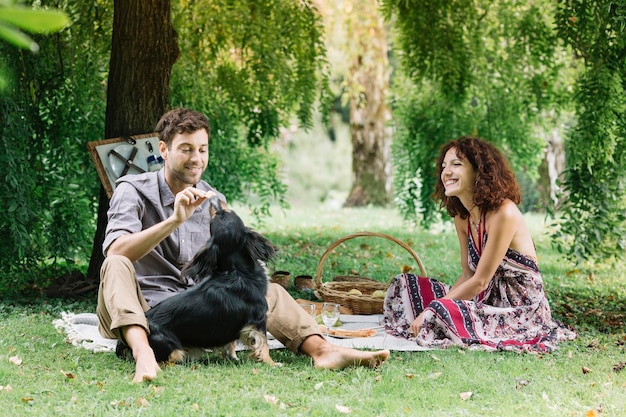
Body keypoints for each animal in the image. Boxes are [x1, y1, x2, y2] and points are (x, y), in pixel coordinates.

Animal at [115, 195, 276, 364]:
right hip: (173, 350)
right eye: (219, 214)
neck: (235, 271)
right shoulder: (258, 320)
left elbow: (230, 345)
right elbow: (263, 344)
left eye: (223, 213)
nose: (213, 198)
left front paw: (233, 358)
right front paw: (271, 363)